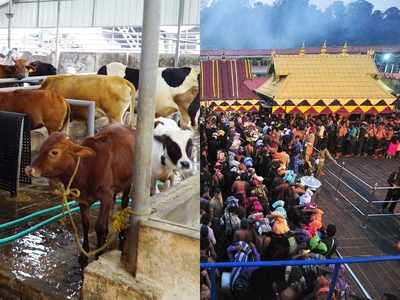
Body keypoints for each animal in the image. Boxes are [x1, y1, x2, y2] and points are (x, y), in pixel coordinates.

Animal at [25, 125, 135, 266]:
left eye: (54, 152)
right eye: (41, 147)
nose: (29, 170)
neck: (87, 169)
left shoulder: (106, 195)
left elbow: (99, 227)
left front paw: (98, 254)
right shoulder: (83, 200)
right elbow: (86, 225)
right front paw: (83, 255)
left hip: (128, 183)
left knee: (125, 203)